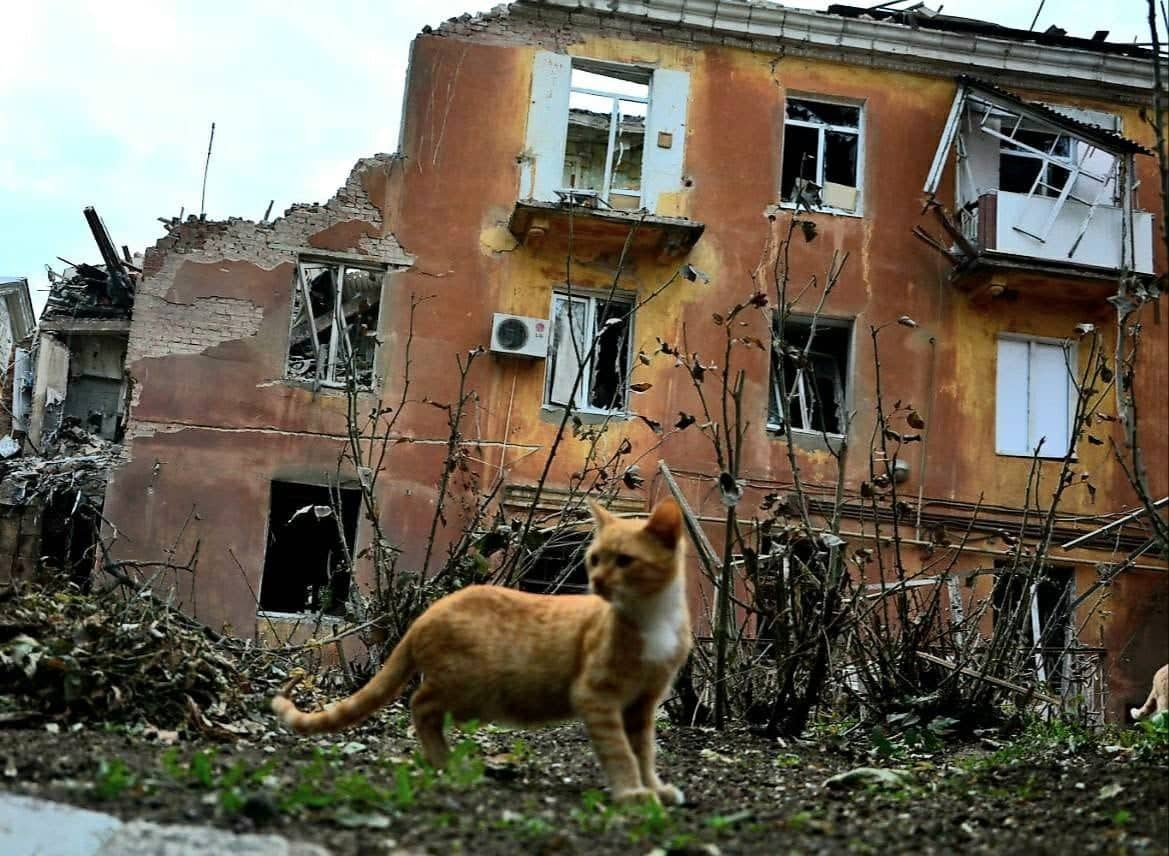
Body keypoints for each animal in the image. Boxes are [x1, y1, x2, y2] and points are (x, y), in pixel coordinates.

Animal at [271, 495, 692, 804]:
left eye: (624, 560)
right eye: (594, 559)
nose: (598, 581)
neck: (651, 617)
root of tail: (426, 614)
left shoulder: (642, 704)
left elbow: (644, 752)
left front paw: (654, 788)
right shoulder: (596, 696)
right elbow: (620, 751)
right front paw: (633, 793)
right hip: (474, 689)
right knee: (420, 703)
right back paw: (449, 764)